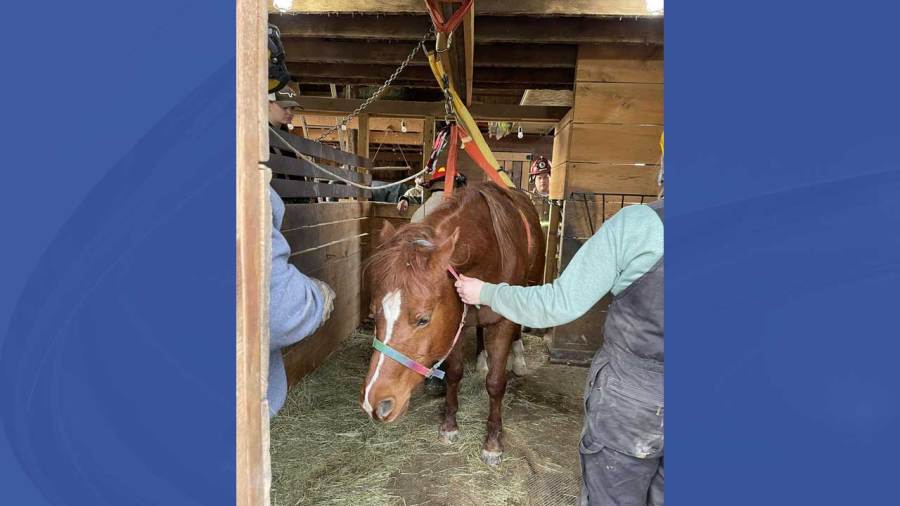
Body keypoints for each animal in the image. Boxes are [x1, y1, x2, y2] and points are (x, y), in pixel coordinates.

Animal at [360, 182, 545, 465]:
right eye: (374, 314)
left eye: (423, 319)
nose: (376, 403)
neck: (490, 247)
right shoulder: (457, 320)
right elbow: (454, 373)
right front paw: (449, 424)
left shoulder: (501, 323)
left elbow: (495, 383)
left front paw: (493, 441)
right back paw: (481, 357)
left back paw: (518, 358)